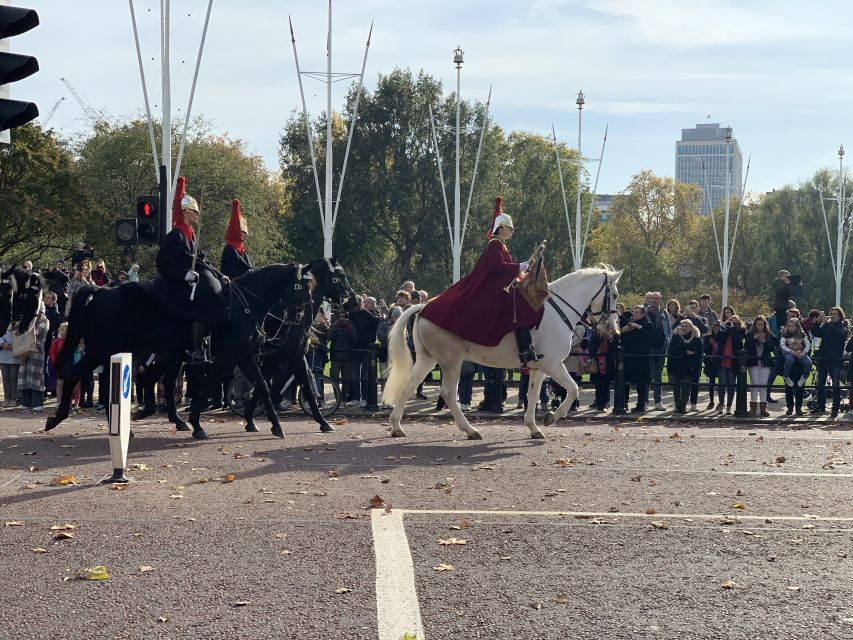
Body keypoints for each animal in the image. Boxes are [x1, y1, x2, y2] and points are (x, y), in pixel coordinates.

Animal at [46, 262, 310, 438]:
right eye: (302, 287)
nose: (303, 319)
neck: (245, 306)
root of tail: (101, 291)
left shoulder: (244, 357)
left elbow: (263, 386)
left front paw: (274, 425)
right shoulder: (225, 358)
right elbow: (205, 389)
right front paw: (197, 424)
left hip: (130, 352)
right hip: (104, 350)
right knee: (77, 376)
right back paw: (59, 417)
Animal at [240, 258, 356, 432]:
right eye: (341, 275)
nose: (354, 301)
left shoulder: (296, 358)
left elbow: (307, 386)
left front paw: (323, 421)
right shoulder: (274, 360)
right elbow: (265, 386)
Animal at [382, 264, 624, 440]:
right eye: (614, 293)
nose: (612, 329)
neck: (559, 312)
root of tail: (424, 307)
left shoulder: (539, 366)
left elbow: (533, 394)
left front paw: (534, 427)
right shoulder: (553, 364)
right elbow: (573, 389)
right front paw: (551, 417)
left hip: (427, 359)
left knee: (408, 387)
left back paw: (397, 427)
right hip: (452, 361)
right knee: (449, 394)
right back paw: (470, 430)